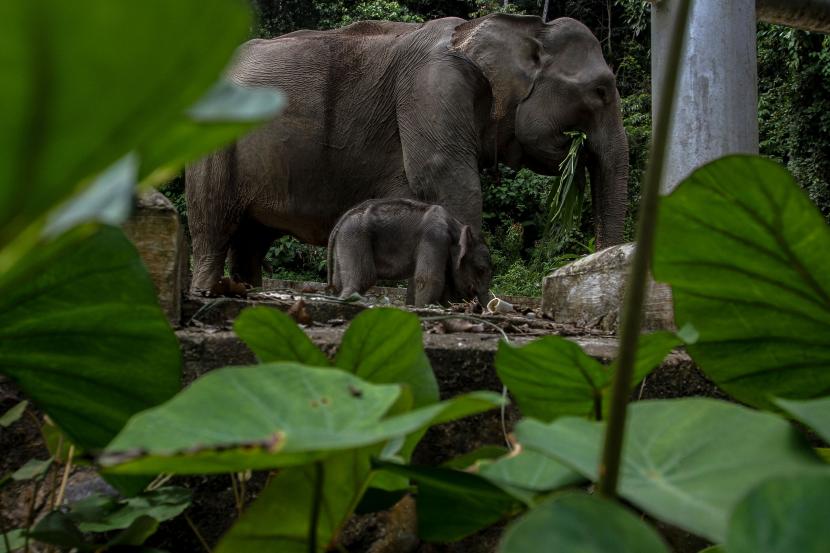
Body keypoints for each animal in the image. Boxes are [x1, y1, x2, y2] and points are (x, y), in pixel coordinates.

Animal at [187, 12, 632, 292]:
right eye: (601, 91)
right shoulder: (431, 90)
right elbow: (448, 181)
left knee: (251, 240)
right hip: (211, 148)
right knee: (213, 227)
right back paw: (208, 290)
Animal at [328, 198, 490, 308]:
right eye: (481, 269)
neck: (456, 225)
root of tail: (342, 220)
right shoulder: (435, 238)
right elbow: (428, 279)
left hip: (344, 241)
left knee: (339, 281)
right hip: (355, 237)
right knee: (364, 277)